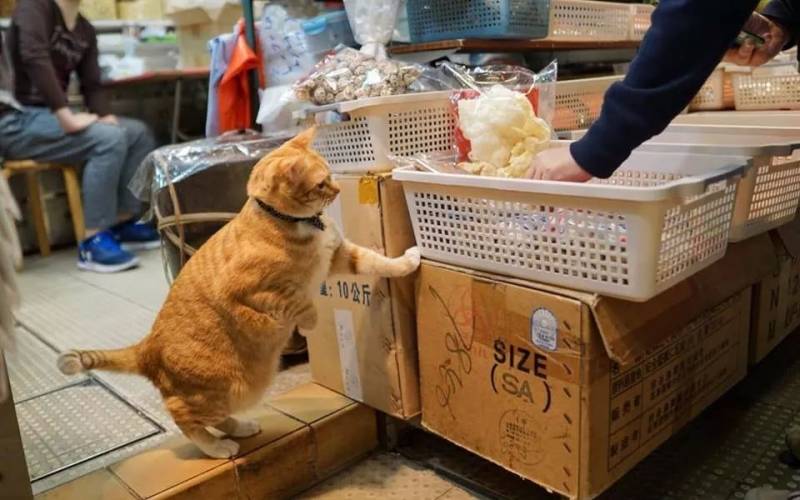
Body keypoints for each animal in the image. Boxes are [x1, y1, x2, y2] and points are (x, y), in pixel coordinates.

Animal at [56, 127, 421, 459]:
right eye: (321, 183)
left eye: (331, 175)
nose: (336, 188)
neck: (295, 224)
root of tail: (147, 347)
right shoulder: (256, 293)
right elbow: (299, 303)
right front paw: (309, 324)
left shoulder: (339, 255)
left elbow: (377, 260)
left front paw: (408, 261)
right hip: (224, 388)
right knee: (183, 417)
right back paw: (217, 447)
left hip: (235, 392)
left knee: (211, 417)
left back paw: (240, 427)